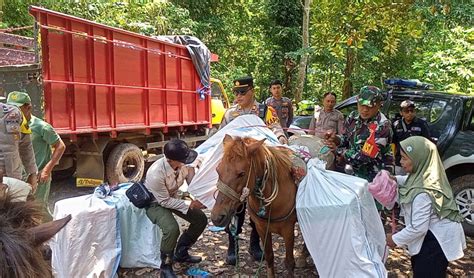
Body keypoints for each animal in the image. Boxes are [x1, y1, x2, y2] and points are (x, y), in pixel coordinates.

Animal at [210, 134, 296, 276]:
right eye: (218, 170)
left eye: (241, 174)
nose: (217, 217)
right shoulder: (262, 228)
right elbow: (269, 256)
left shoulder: (289, 230)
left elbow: (289, 262)